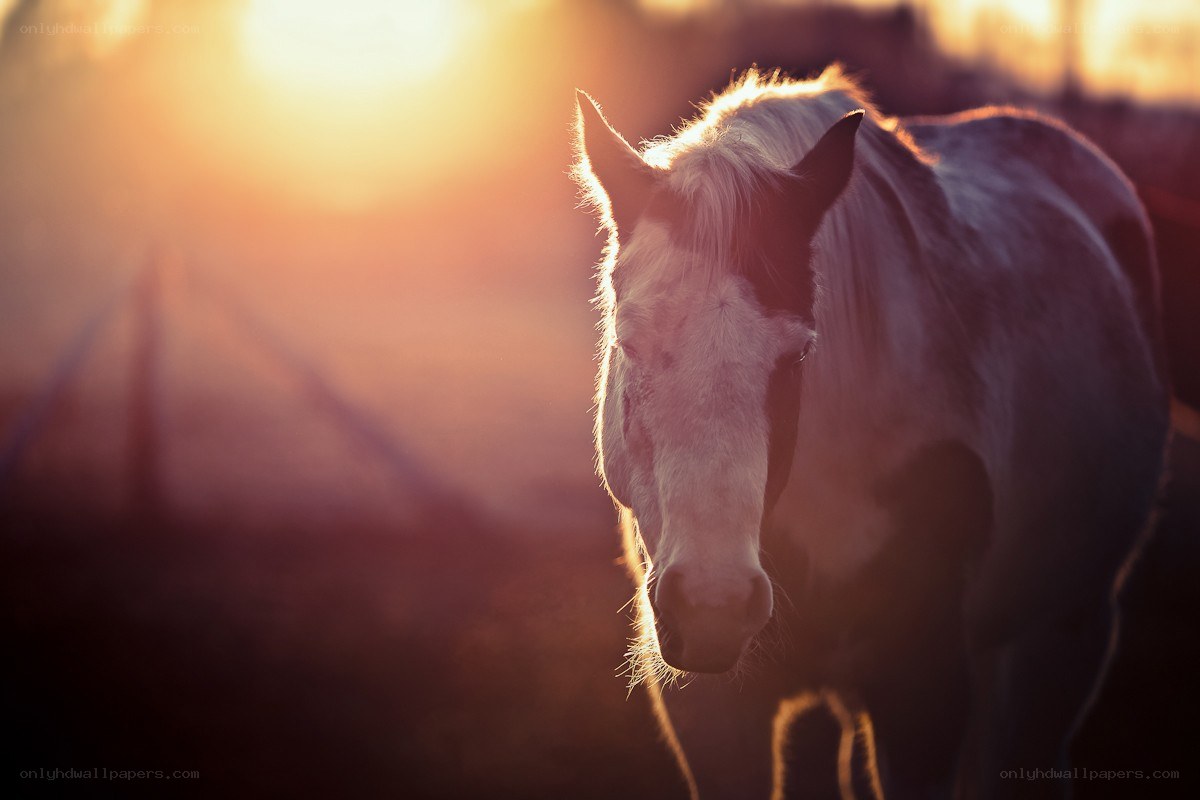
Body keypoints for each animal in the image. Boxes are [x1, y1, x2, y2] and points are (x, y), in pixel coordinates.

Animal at [572, 67, 1169, 799]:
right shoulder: (715, 713)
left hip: (1062, 635)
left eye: (799, 353)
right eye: (629, 343)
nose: (714, 604)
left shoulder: (922, 694)